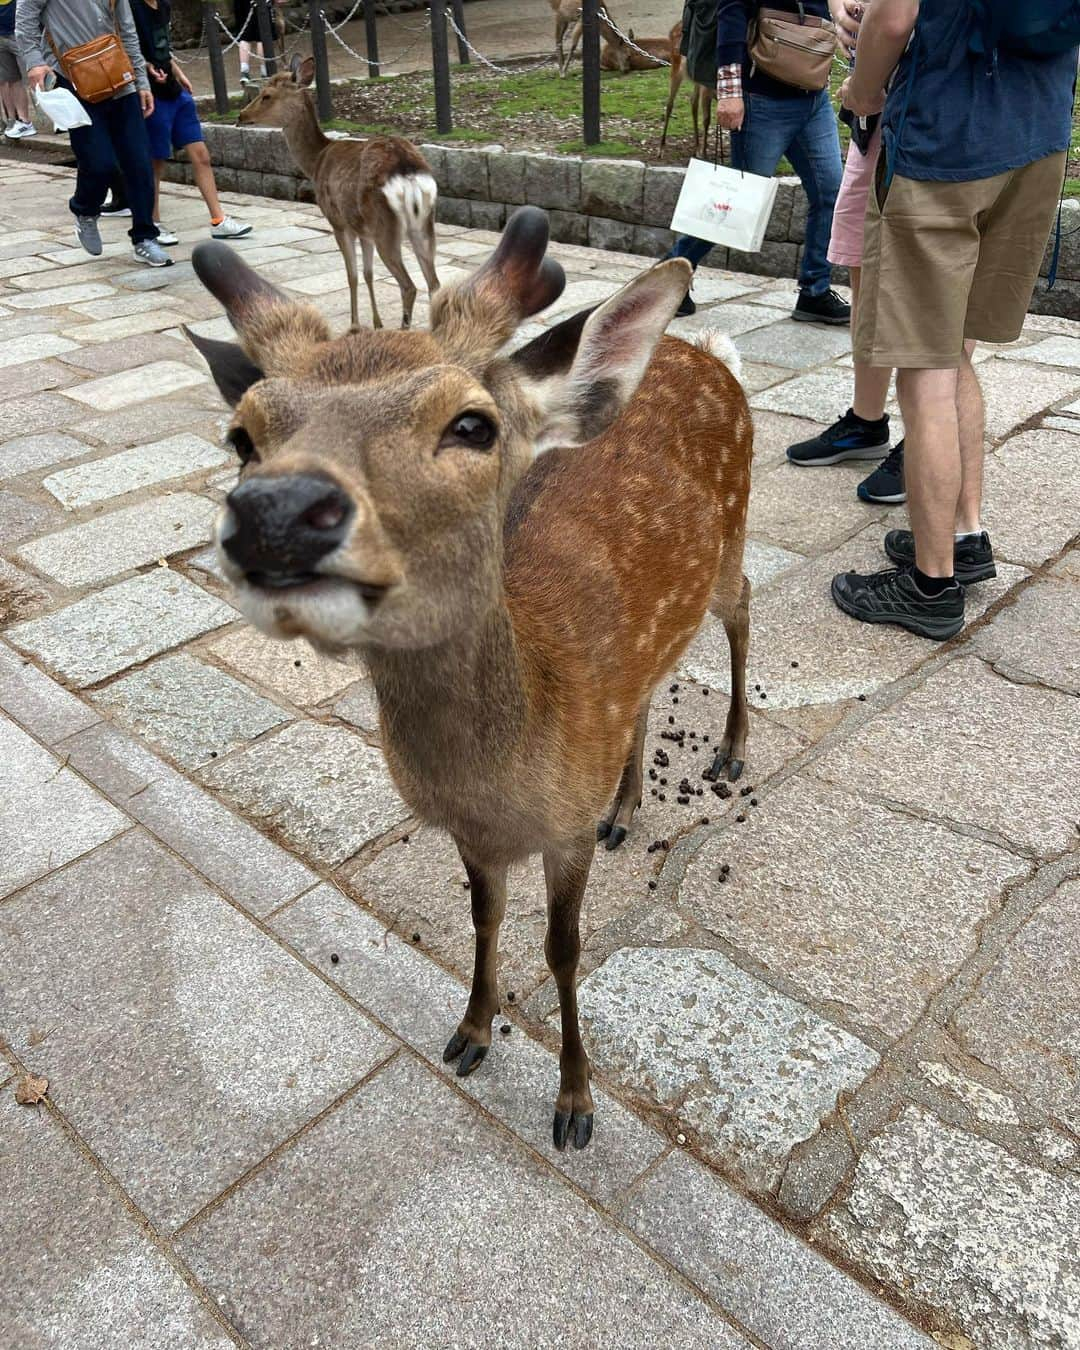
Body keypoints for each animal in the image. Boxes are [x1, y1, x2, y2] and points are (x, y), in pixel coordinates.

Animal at [186, 205, 756, 1155]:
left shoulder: (560, 833)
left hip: (737, 533)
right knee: (647, 688)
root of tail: (707, 349)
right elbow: (482, 917)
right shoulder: (472, 833)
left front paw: (575, 1104)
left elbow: (563, 949)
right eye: (242, 435)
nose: (275, 511)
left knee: (744, 606)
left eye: (471, 425)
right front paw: (471, 1030)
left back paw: (731, 752)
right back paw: (626, 807)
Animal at [237, 54, 437, 329]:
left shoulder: (338, 222)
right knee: (434, 284)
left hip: (386, 225)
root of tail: (408, 172)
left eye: (266, 95)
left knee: (409, 286)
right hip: (423, 224)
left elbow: (351, 275)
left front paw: (355, 325)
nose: (241, 115)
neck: (315, 162)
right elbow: (367, 273)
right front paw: (377, 323)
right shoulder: (363, 230)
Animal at [658, 20, 718, 156]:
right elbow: (707, 119)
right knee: (670, 103)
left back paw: (696, 147)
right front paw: (705, 154)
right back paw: (661, 148)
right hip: (676, 66)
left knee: (693, 101)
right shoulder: (707, 88)